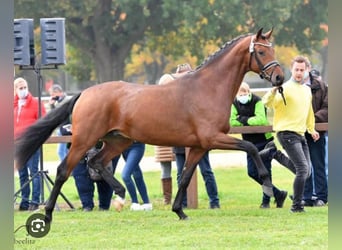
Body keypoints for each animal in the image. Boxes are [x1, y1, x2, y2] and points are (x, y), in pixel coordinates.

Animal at [14, 27, 284, 223]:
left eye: (272, 50)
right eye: (261, 53)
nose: (279, 77)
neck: (208, 88)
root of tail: (84, 93)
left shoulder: (199, 146)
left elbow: (185, 177)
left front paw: (179, 211)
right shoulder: (213, 138)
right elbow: (251, 147)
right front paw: (269, 187)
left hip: (118, 141)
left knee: (97, 162)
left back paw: (120, 193)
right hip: (84, 140)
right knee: (64, 170)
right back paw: (48, 213)